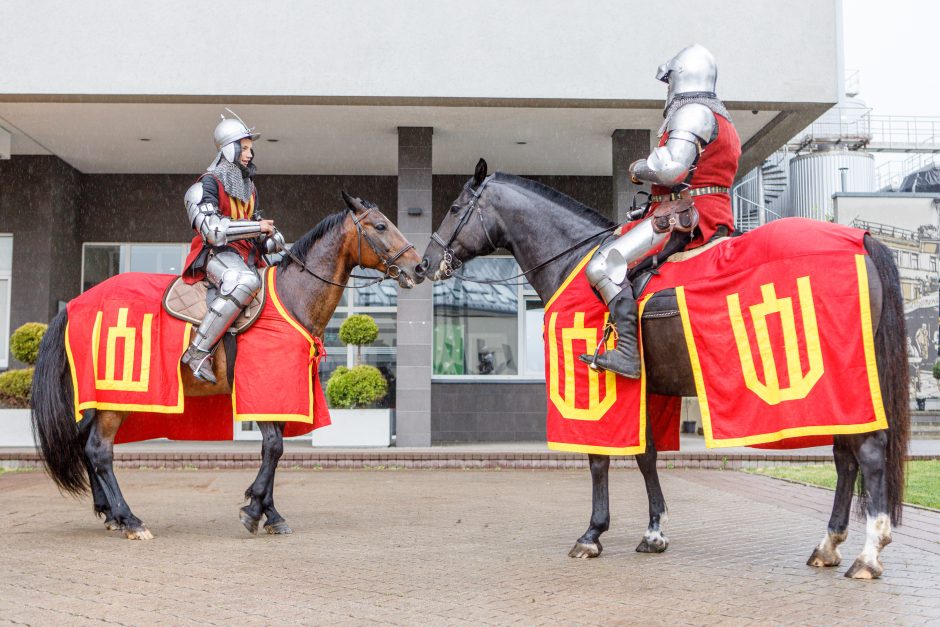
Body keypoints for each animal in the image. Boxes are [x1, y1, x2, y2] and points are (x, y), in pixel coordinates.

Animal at [32, 195, 422, 540]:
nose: (418, 267)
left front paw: (270, 513)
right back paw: (130, 520)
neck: (292, 298)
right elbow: (274, 447)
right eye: (381, 225)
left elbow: (273, 450)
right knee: (99, 450)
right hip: (117, 397)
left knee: (85, 443)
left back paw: (110, 513)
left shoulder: (279, 395)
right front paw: (253, 509)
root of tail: (76, 304)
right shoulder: (258, 388)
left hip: (106, 398)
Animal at [418, 159, 912, 580]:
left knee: (867, 453)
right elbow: (647, 455)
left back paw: (868, 555)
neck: (575, 261)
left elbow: (599, 459)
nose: (424, 264)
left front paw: (592, 534)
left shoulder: (598, 388)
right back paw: (828, 546)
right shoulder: (644, 390)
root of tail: (859, 239)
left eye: (457, 208)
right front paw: (654, 532)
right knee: (845, 457)